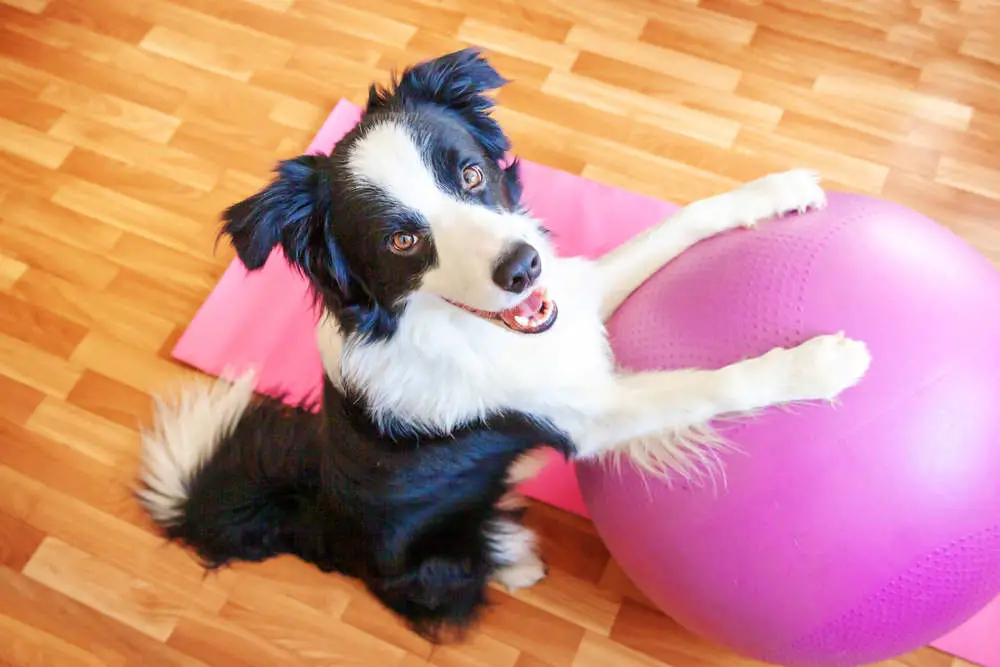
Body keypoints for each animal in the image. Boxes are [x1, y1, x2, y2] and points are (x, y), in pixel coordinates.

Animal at [137, 47, 872, 640]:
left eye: (469, 174)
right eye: (403, 240)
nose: (523, 267)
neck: (470, 330)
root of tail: (318, 524)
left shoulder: (574, 299)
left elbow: (682, 222)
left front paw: (774, 190)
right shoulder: (588, 416)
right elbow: (712, 383)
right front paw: (821, 363)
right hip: (437, 556)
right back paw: (518, 561)